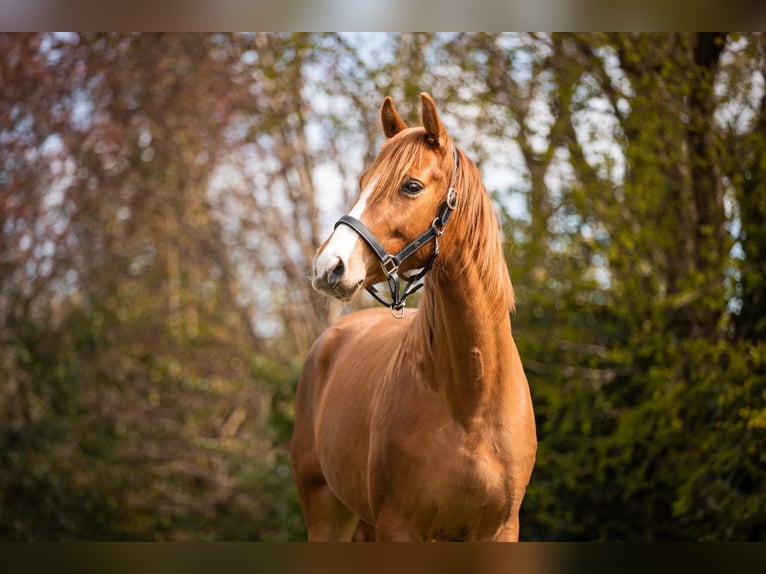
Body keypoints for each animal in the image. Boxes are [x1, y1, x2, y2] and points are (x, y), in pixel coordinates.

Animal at [290, 93, 537, 541]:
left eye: (411, 186)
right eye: (363, 182)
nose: (329, 266)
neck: (471, 402)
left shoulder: (499, 529)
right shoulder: (400, 528)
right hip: (326, 515)